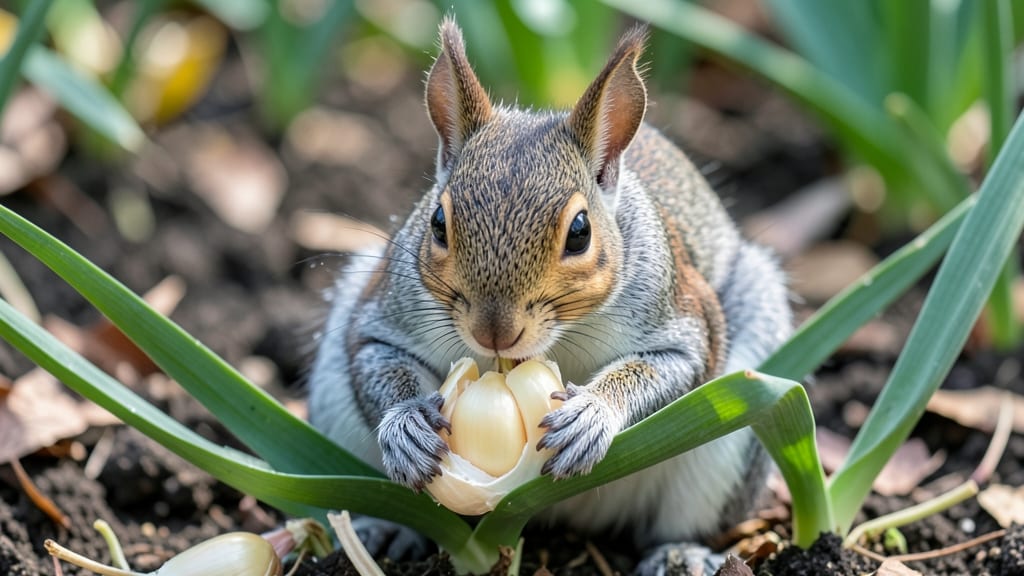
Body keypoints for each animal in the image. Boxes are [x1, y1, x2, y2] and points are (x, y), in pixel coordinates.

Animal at [308, 18, 792, 555]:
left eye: (579, 232)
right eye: (436, 223)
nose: (494, 333)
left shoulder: (682, 316)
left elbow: (671, 368)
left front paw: (592, 413)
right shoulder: (385, 313)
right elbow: (377, 354)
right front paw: (406, 423)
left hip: (729, 440)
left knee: (685, 519)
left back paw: (679, 553)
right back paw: (385, 530)